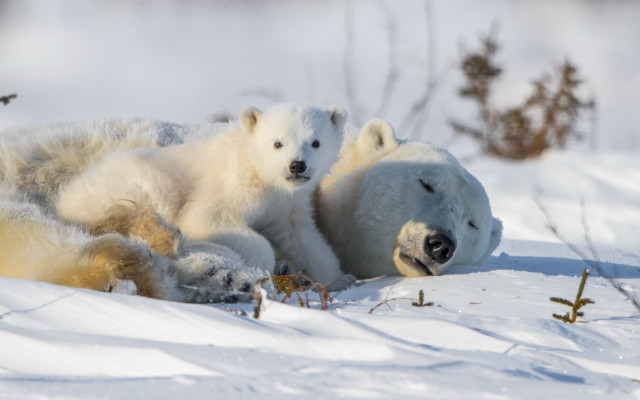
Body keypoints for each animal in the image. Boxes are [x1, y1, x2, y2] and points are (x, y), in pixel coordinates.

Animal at [53, 104, 355, 291]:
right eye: (277, 143)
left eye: (315, 142)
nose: (297, 165)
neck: (259, 171)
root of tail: (64, 198)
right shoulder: (231, 185)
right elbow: (206, 220)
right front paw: (266, 262)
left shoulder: (286, 204)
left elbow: (304, 240)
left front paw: (341, 278)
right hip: (135, 186)